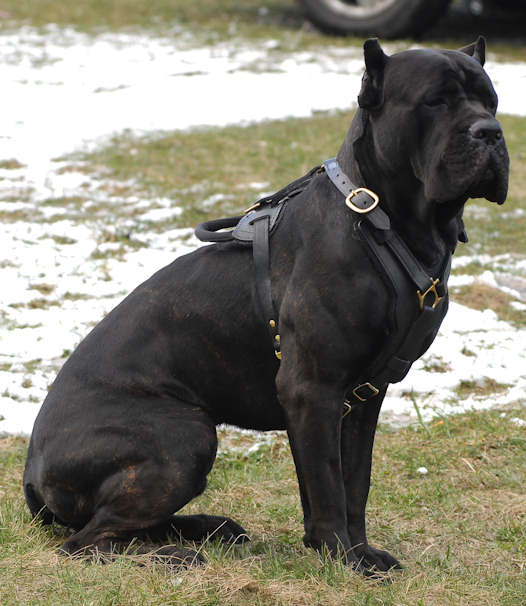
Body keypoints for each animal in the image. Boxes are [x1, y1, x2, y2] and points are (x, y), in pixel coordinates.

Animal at [24, 39, 512, 576]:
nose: (490, 132)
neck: (383, 221)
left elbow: (352, 482)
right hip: (185, 436)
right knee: (87, 540)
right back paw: (174, 555)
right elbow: (327, 485)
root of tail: (31, 473)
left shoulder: (363, 396)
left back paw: (209, 528)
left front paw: (359, 552)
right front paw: (340, 556)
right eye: (435, 102)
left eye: (491, 101)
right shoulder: (312, 389)